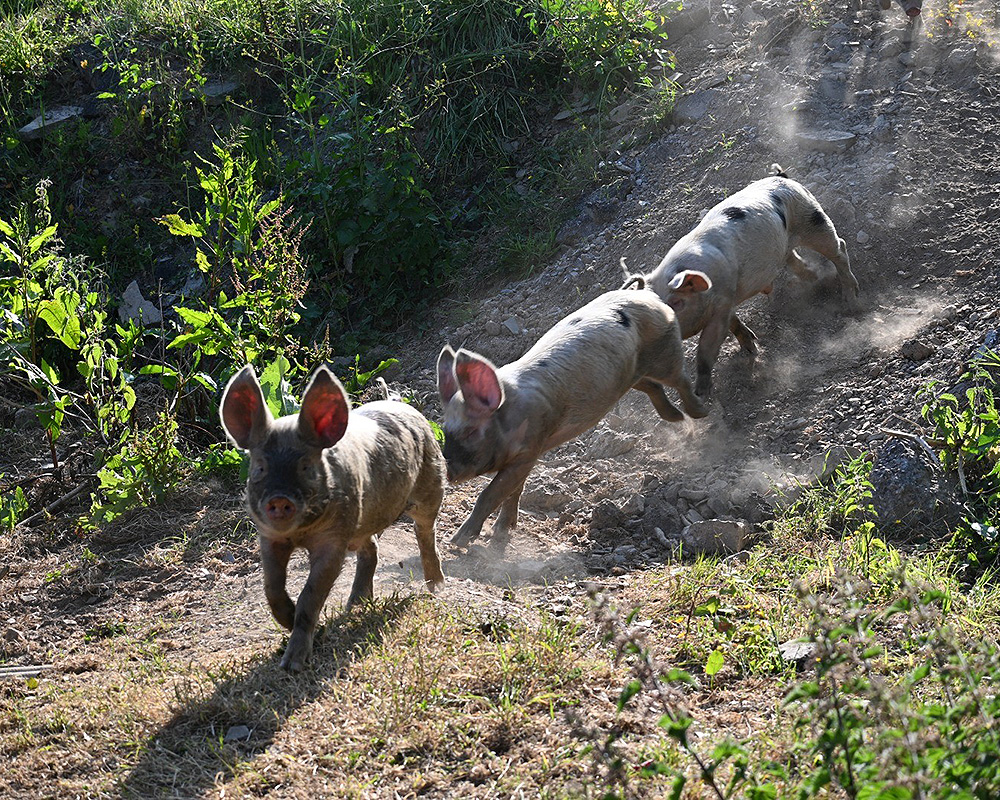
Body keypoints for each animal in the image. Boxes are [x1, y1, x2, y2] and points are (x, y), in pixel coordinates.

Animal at [219, 364, 445, 672]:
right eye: (260, 467)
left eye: (306, 466)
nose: (279, 499)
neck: (301, 533)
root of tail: (403, 405)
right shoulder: (269, 536)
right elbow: (272, 588)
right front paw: (305, 628)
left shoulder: (334, 540)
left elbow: (311, 595)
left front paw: (292, 665)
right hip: (363, 521)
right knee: (371, 549)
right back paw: (356, 606)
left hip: (431, 484)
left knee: (425, 534)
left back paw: (436, 588)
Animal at [437, 289, 708, 552]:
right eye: (445, 431)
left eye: (470, 432)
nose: (448, 472)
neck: (511, 412)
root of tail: (648, 295)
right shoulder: (527, 455)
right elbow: (514, 491)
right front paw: (501, 531)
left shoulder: (530, 446)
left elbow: (491, 493)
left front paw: (456, 541)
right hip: (631, 376)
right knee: (653, 387)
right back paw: (676, 416)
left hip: (665, 353)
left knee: (680, 379)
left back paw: (700, 412)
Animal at [624, 172, 860, 399]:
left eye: (676, 302)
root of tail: (782, 178)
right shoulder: (727, 301)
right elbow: (735, 324)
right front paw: (752, 346)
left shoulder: (722, 302)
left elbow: (706, 347)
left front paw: (702, 393)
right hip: (787, 241)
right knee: (794, 259)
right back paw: (815, 279)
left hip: (813, 219)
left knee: (839, 248)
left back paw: (850, 301)